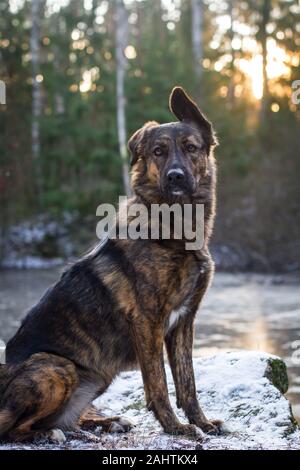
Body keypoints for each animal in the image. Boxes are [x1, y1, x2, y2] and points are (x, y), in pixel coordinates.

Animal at [0, 86, 220, 442]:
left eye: (191, 148)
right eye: (158, 151)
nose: (175, 176)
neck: (175, 226)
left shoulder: (183, 323)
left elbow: (188, 382)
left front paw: (201, 422)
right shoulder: (148, 322)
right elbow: (158, 383)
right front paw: (175, 428)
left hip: (95, 377)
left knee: (68, 419)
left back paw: (103, 424)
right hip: (56, 367)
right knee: (14, 427)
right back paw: (50, 435)